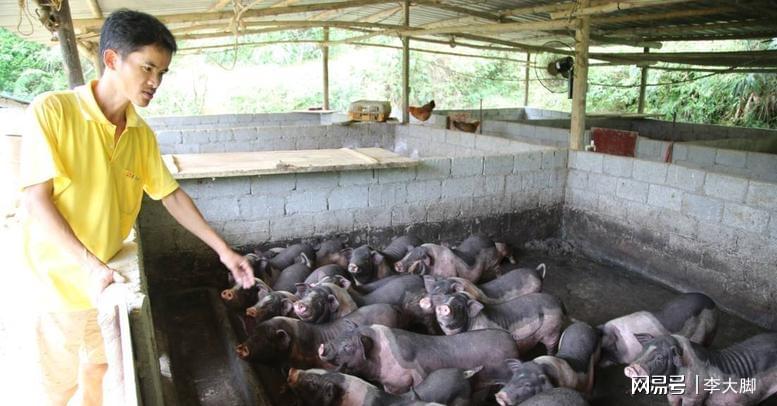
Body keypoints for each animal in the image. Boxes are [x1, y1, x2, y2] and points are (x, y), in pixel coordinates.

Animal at [318, 324, 520, 394]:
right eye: (340, 335)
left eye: (348, 346)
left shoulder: (418, 373)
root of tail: (512, 339)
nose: (322, 347)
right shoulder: (390, 384)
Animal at [430, 292, 564, 356]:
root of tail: (557, 302)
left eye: (459, 306)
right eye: (445, 300)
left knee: (551, 345)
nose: (443, 306)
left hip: (552, 329)